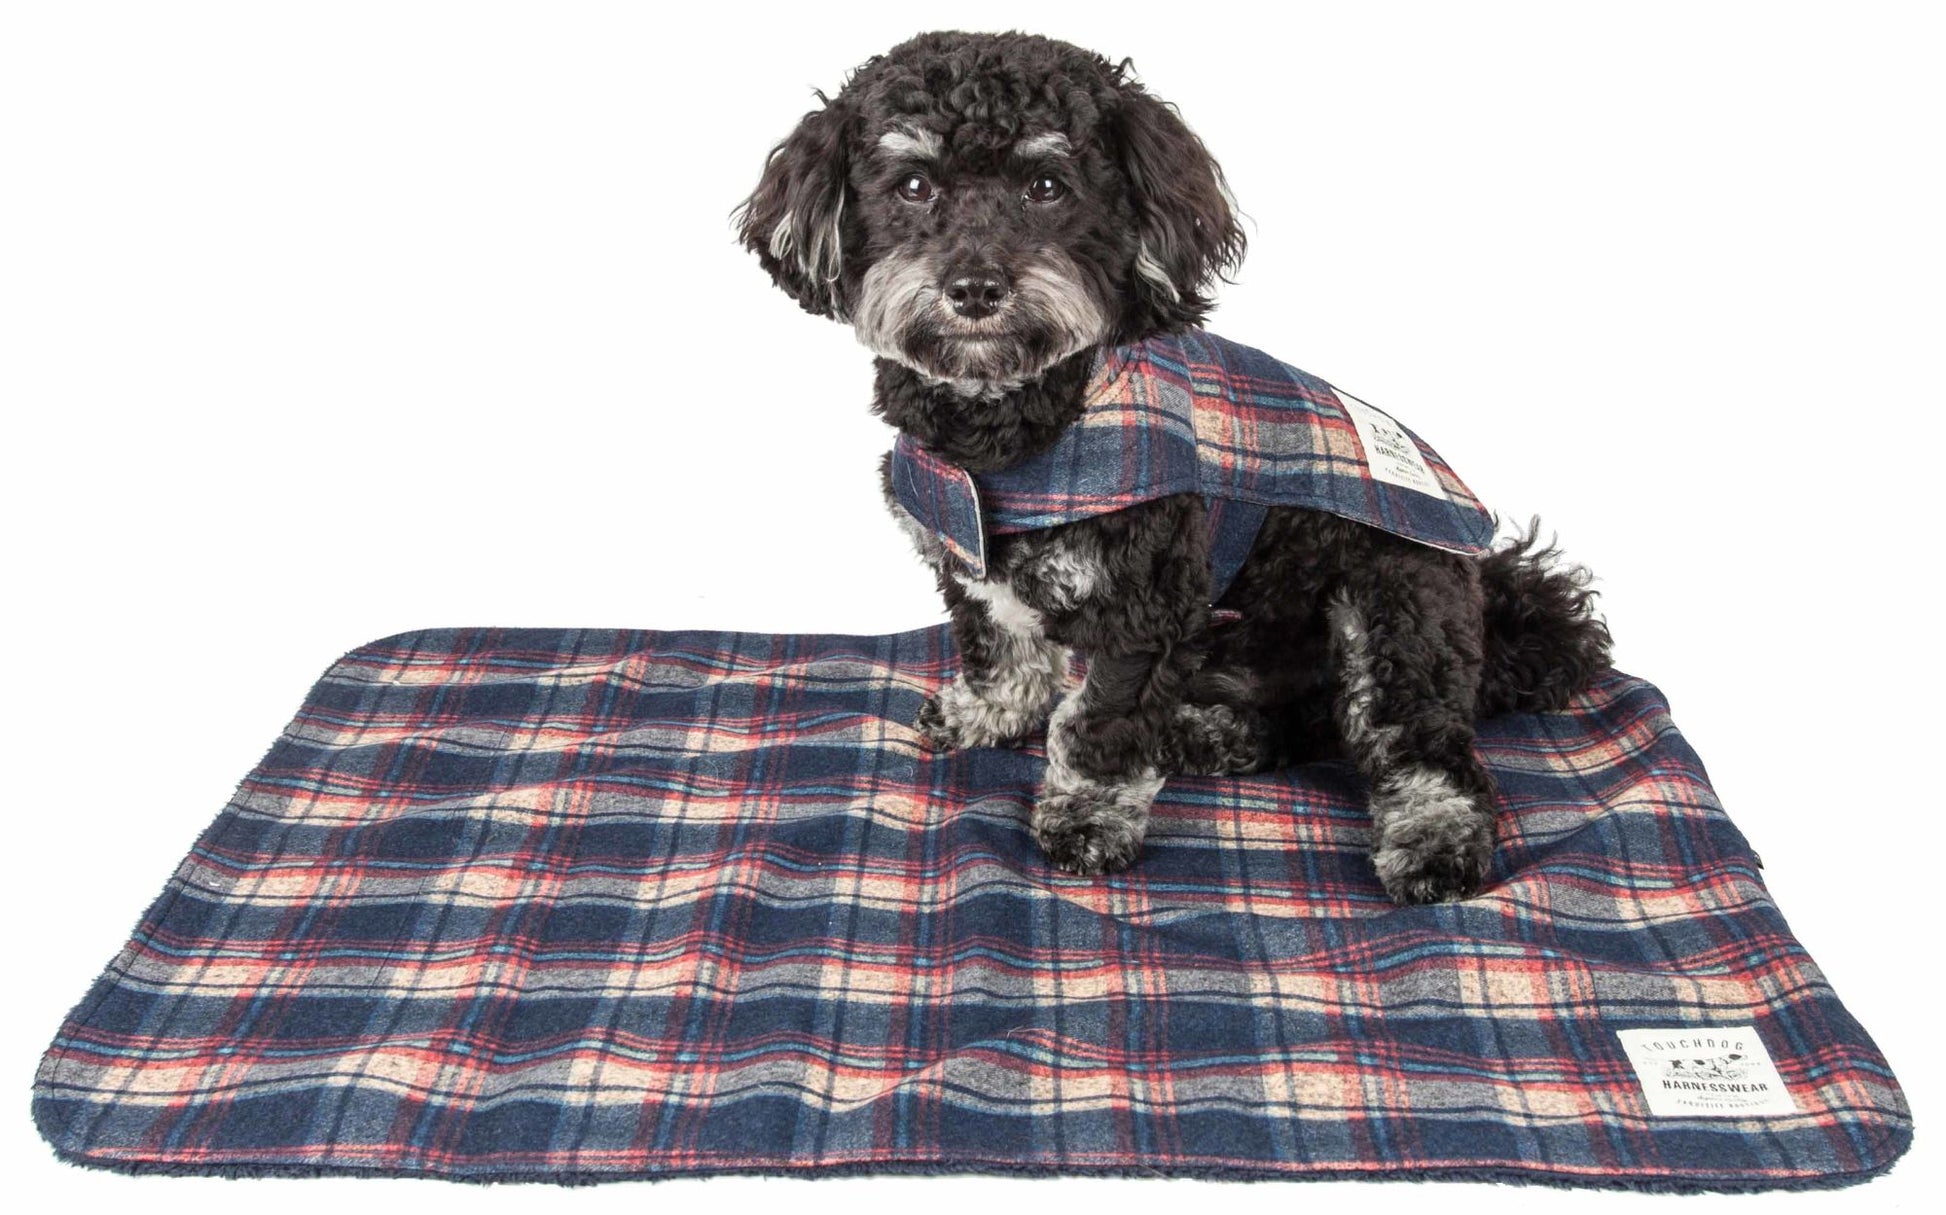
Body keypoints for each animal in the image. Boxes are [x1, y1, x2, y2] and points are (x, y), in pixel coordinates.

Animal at [731, 28, 1611, 903]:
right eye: (913, 185)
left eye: (1046, 187)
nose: (974, 287)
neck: (1009, 426)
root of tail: (1494, 593)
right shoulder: (971, 552)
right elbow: (1001, 642)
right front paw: (993, 712)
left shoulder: (1146, 600)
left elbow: (1102, 722)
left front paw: (1088, 812)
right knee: (1308, 722)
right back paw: (1211, 732)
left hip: (1393, 598)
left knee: (1417, 740)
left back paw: (1431, 835)